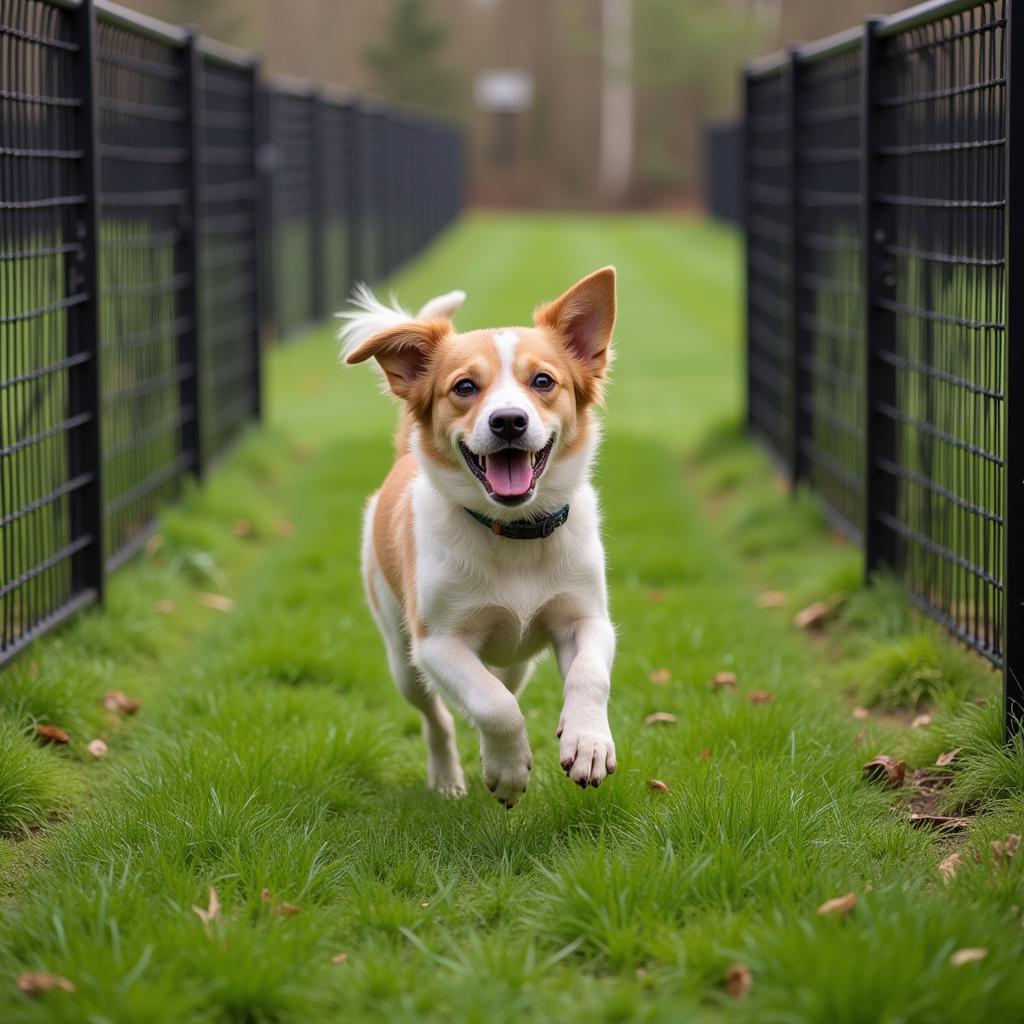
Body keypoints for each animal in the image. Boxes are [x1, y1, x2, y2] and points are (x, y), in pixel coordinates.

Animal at [342, 270, 614, 806]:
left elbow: (589, 674)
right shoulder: (437, 644)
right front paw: (507, 769)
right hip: (403, 660)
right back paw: (448, 777)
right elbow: (493, 706)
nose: (508, 420)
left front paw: (588, 742)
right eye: (465, 387)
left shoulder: (588, 619)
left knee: (507, 678)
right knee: (441, 717)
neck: (514, 533)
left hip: (519, 660)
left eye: (543, 381)